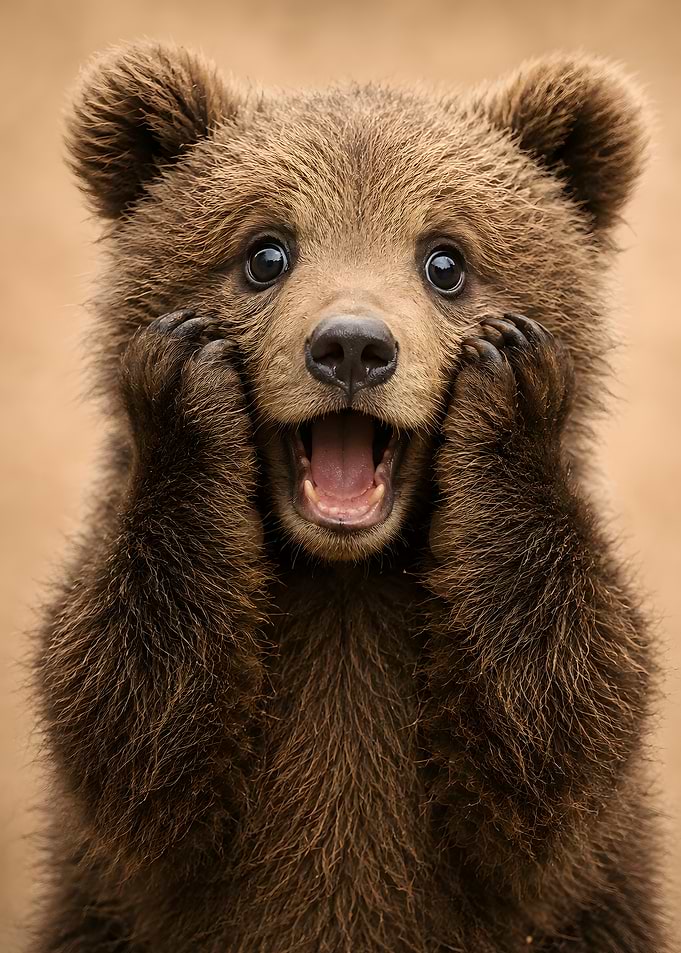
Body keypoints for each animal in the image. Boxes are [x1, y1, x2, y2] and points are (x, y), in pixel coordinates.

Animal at [32, 40, 668, 953]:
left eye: (446, 260)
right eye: (265, 251)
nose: (353, 347)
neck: (346, 569)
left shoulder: (557, 853)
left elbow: (557, 721)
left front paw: (509, 385)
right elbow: (131, 719)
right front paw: (187, 384)